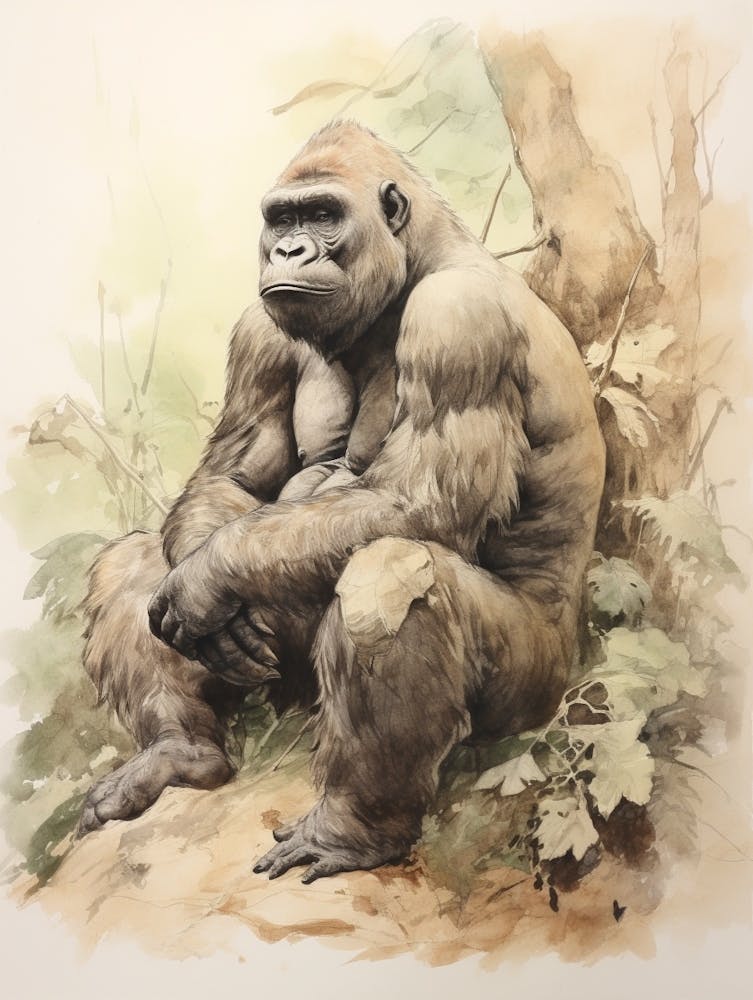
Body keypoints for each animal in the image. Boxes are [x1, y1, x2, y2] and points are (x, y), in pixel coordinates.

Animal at [80, 122, 605, 884]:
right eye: (282, 219)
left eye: (324, 215)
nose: (289, 251)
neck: (418, 259)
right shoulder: (259, 331)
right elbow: (230, 482)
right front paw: (205, 585)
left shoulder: (458, 320)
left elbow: (416, 507)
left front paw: (208, 579)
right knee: (133, 561)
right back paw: (180, 754)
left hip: (535, 693)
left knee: (385, 576)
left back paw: (353, 831)